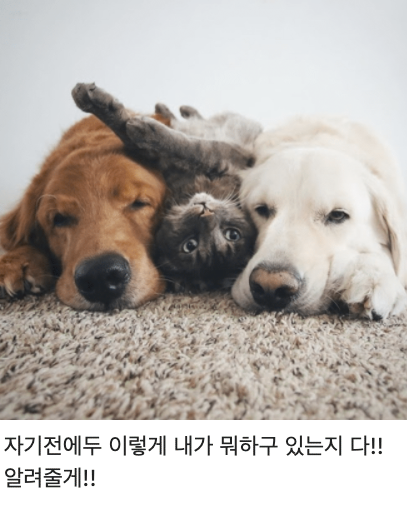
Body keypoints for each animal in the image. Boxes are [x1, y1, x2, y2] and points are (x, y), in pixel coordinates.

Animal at [72, 83, 262, 291]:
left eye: (190, 245)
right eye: (233, 234)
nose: (206, 212)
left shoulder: (228, 156)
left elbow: (192, 148)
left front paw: (143, 129)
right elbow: (127, 131)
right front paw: (91, 98)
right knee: (192, 118)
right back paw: (174, 109)